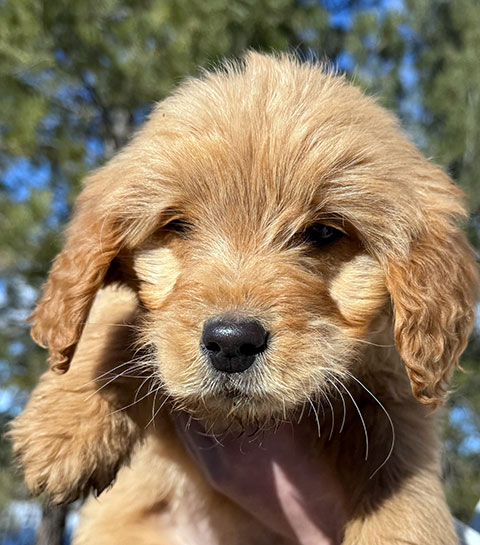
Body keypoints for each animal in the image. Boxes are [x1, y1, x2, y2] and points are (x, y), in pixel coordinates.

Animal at [9, 52, 478, 544]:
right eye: (177, 225)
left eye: (324, 232)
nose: (231, 341)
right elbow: (110, 313)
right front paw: (63, 429)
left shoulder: (396, 386)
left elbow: (399, 472)